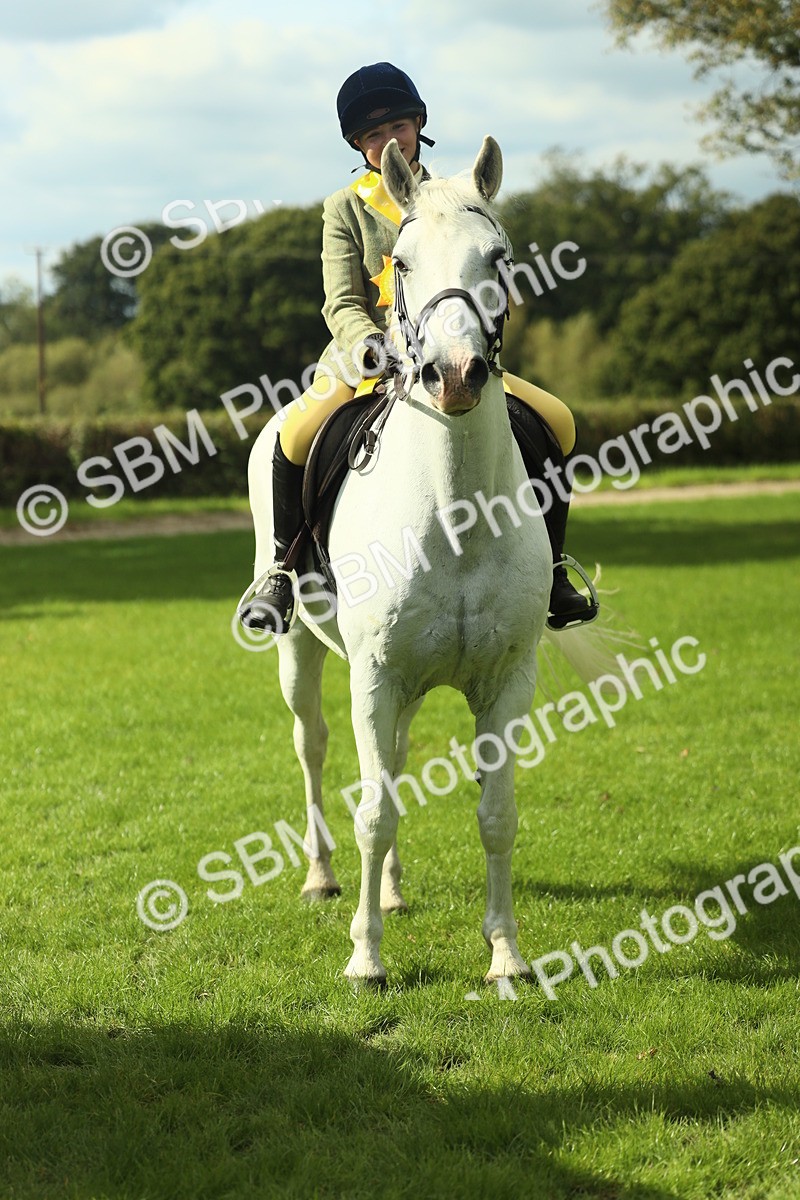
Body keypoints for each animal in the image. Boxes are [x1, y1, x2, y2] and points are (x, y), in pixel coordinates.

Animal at [246, 136, 554, 985]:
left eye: (499, 256)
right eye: (403, 262)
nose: (453, 375)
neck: (455, 513)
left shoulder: (505, 680)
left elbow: (498, 814)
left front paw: (506, 956)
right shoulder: (375, 673)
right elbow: (374, 809)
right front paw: (365, 960)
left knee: (396, 756)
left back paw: (388, 890)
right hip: (303, 653)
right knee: (315, 748)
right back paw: (322, 878)